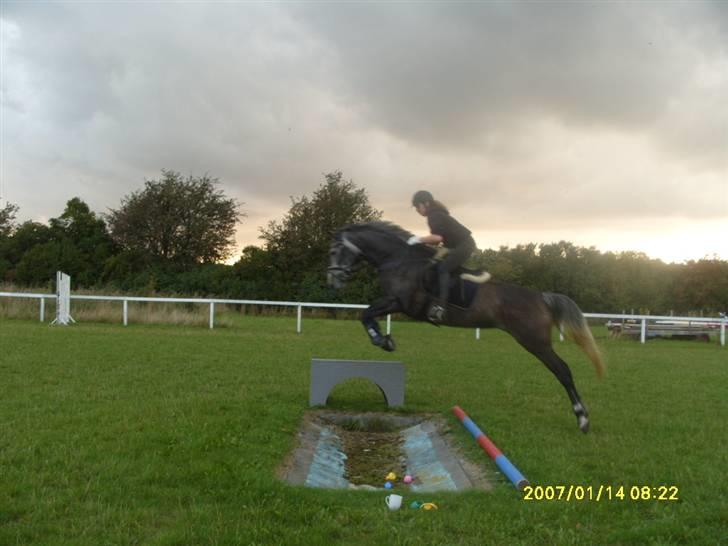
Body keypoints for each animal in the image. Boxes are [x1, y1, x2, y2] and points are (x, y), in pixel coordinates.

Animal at [328, 220, 604, 430]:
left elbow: (366, 314)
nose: (333, 281)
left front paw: (382, 340)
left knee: (563, 370)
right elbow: (367, 315)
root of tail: (540, 297)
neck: (398, 260)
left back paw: (582, 418)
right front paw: (384, 339)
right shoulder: (395, 303)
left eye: (333, 251)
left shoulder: (399, 302)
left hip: (534, 341)